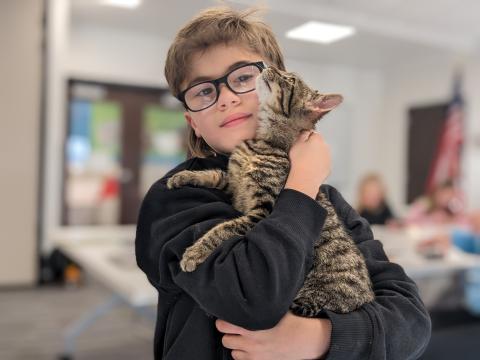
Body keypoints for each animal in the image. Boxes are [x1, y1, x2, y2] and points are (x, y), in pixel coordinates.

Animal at [168, 64, 376, 316]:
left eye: (290, 80)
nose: (269, 66)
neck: (263, 141)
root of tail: (367, 296)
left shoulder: (262, 211)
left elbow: (224, 228)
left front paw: (195, 251)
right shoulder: (233, 183)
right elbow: (213, 174)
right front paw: (183, 176)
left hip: (307, 299)